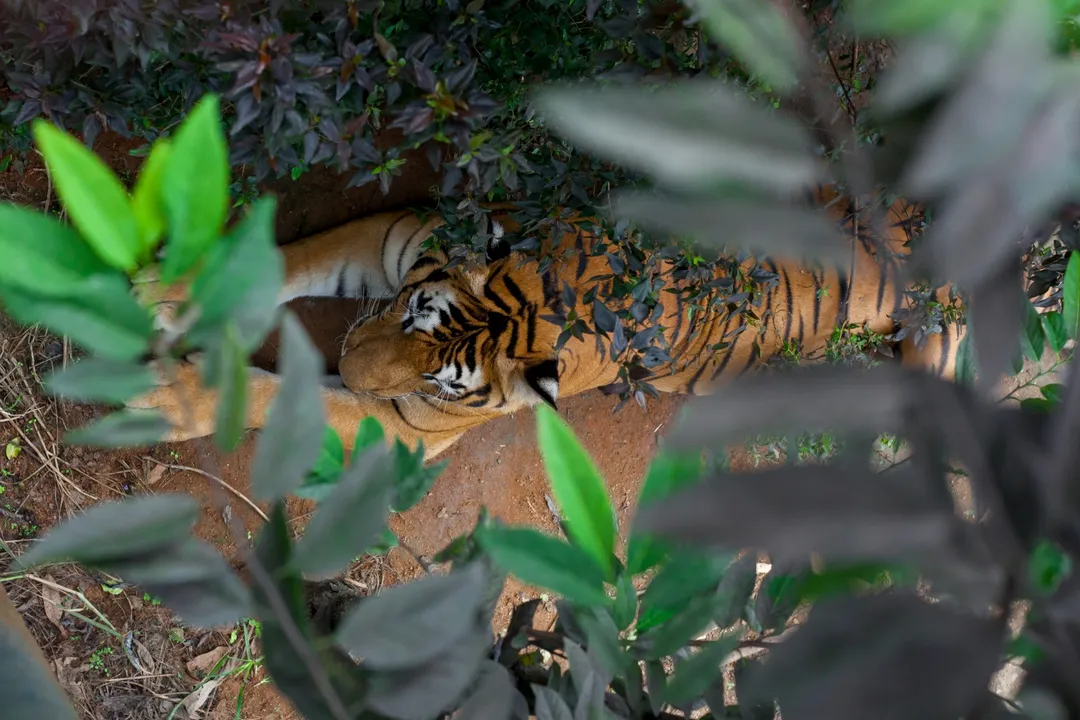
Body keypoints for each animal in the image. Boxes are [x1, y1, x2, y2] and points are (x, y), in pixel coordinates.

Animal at [128, 183, 966, 460]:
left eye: (446, 382)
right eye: (411, 311)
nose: (348, 360)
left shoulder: (408, 425)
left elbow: (278, 395)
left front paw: (166, 398)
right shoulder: (393, 233)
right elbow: (284, 258)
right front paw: (162, 290)